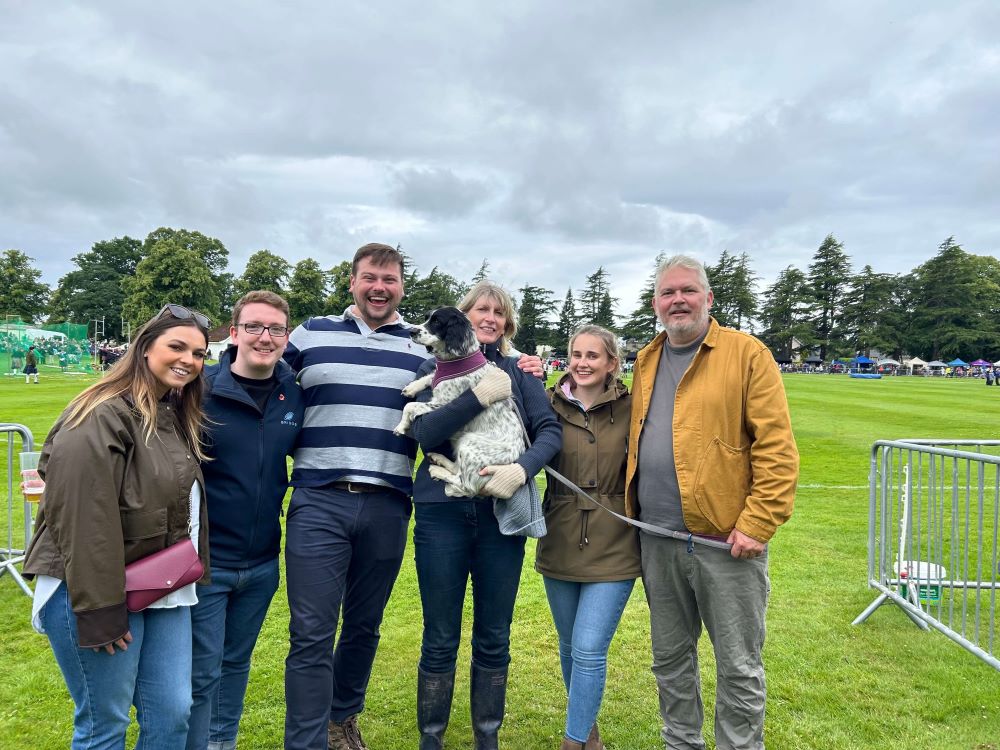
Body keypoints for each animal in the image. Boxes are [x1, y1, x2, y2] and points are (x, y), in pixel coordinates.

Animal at [390, 306, 524, 500]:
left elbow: (411, 406)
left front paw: (401, 426)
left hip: (470, 444)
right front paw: (412, 387)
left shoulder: (443, 403)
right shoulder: (438, 378)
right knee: (457, 467)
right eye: (427, 318)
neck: (456, 360)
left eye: (437, 322)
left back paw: (439, 472)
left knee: (464, 485)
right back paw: (439, 460)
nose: (412, 331)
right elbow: (431, 376)